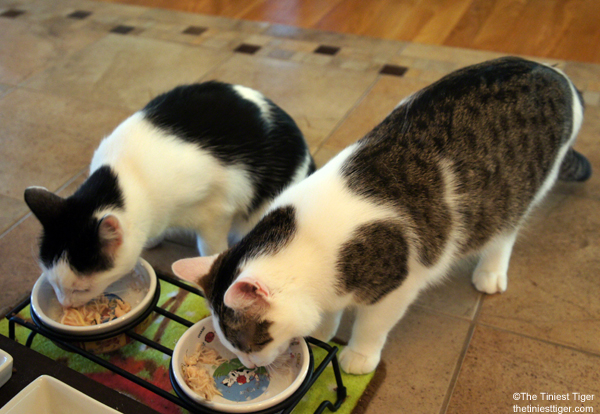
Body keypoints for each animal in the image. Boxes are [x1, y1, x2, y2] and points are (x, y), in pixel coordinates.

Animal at [23, 80, 314, 308]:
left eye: (81, 289)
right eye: (52, 283)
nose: (65, 304)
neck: (126, 175)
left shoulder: (217, 207)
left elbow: (209, 245)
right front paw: (152, 238)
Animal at [172, 58, 592, 376]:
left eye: (251, 342)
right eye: (233, 345)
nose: (247, 364)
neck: (308, 241)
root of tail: (557, 74)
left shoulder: (398, 287)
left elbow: (372, 325)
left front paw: (358, 355)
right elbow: (332, 311)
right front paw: (325, 329)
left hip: (518, 194)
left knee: (504, 235)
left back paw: (490, 273)